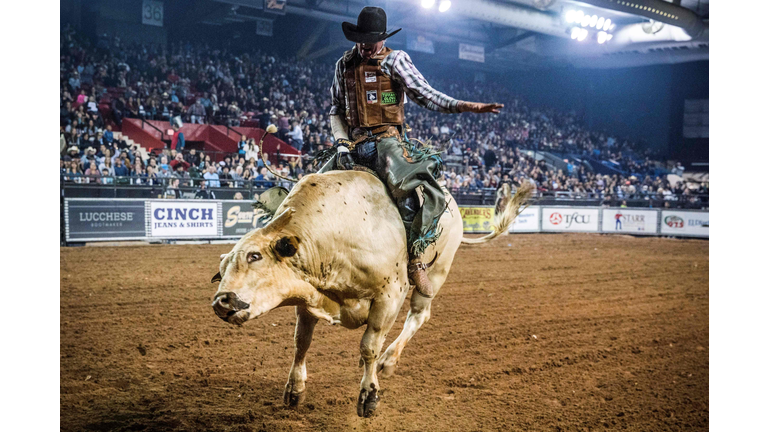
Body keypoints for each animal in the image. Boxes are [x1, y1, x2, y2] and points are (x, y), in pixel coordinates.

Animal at [212, 170, 536, 416]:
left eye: (254, 256)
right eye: (223, 265)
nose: (221, 301)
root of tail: (454, 206)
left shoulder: (389, 296)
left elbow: (369, 346)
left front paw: (369, 395)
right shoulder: (308, 298)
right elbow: (301, 342)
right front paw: (295, 389)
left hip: (436, 273)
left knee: (418, 316)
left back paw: (388, 361)